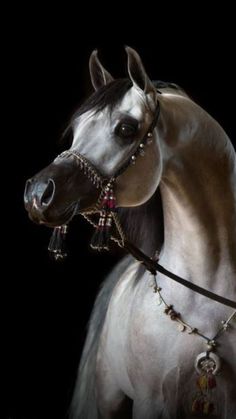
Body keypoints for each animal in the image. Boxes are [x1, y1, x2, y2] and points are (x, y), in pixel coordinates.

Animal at [24, 47, 236, 418]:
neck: (206, 298)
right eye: (77, 128)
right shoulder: (152, 403)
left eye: (126, 128)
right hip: (110, 398)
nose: (37, 194)